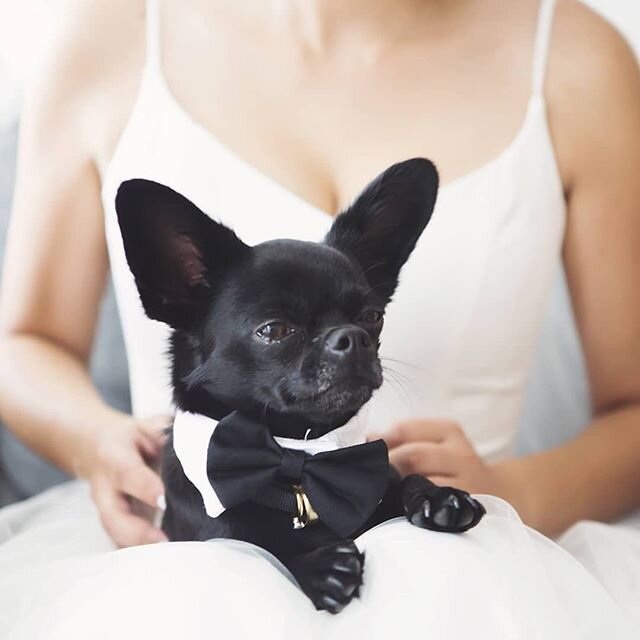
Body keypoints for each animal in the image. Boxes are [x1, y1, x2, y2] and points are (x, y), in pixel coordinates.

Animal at [116, 158, 484, 612]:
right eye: (274, 330)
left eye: (372, 317)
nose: (351, 338)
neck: (297, 459)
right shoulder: (215, 531)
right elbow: (261, 543)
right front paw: (318, 563)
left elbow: (404, 480)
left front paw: (437, 497)